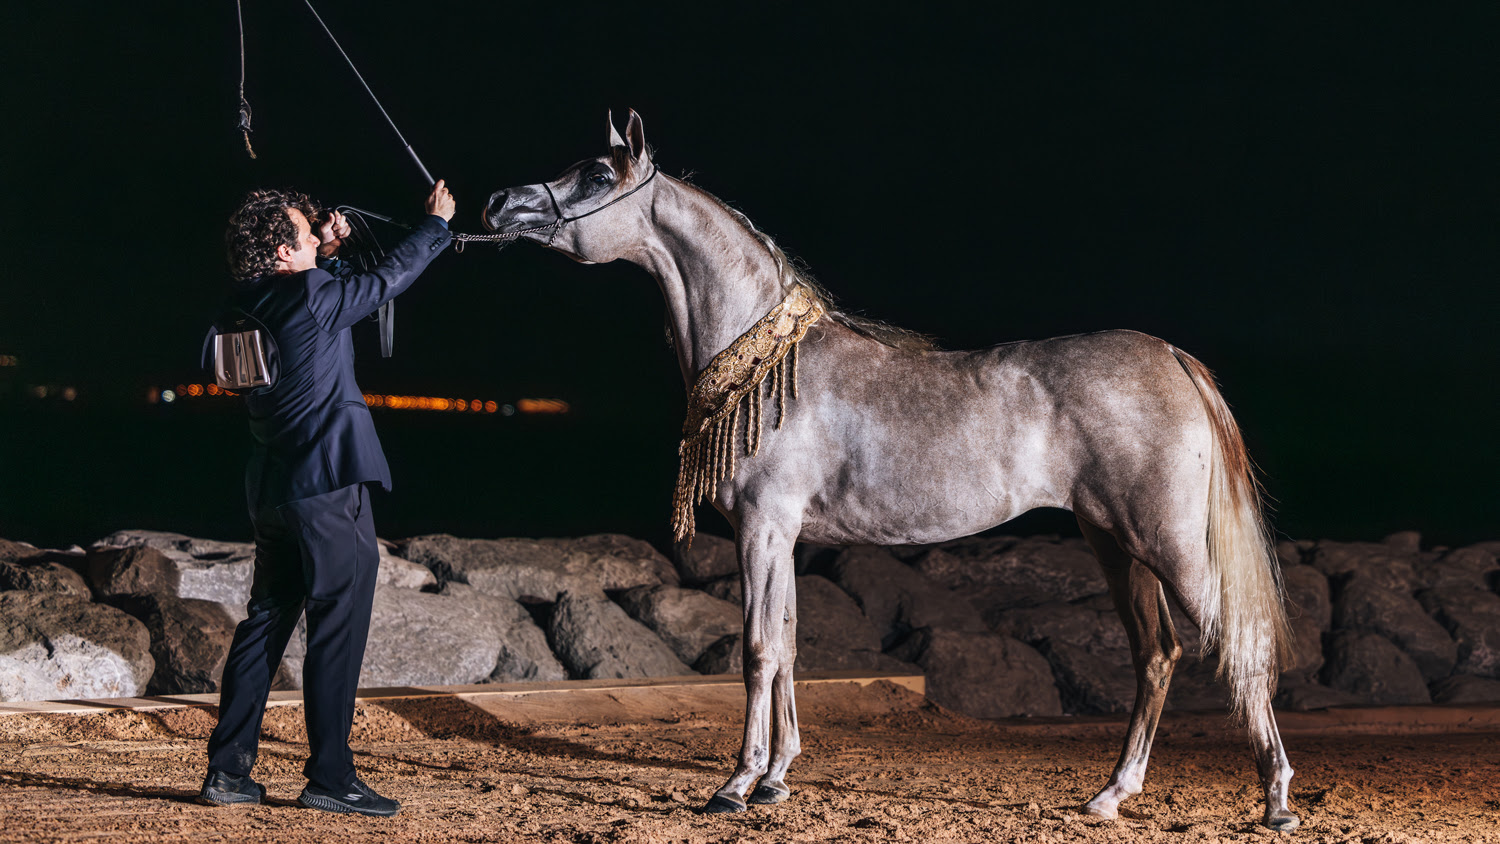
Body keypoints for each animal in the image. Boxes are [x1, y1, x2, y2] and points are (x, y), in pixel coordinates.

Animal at [480, 110, 1300, 831]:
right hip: (1114, 544)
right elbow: (787, 646)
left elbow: (756, 651)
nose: (496, 203)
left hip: (1166, 543)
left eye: (595, 173)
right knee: (1155, 655)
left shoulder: (762, 528)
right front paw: (777, 778)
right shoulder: (783, 537)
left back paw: (1277, 801)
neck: (774, 363)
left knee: (1237, 645)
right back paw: (1110, 794)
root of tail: (1170, 356)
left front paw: (737, 785)